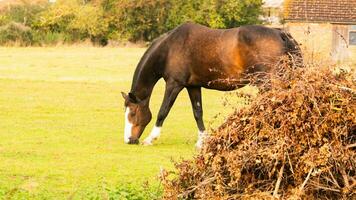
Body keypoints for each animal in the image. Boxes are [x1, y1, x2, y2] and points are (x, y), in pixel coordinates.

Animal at [121, 22, 302, 147]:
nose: (129, 140)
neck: (169, 48)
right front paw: (202, 141)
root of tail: (280, 33)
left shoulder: (174, 84)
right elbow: (197, 112)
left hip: (268, 82)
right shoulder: (193, 86)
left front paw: (150, 139)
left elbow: (163, 111)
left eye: (132, 113)